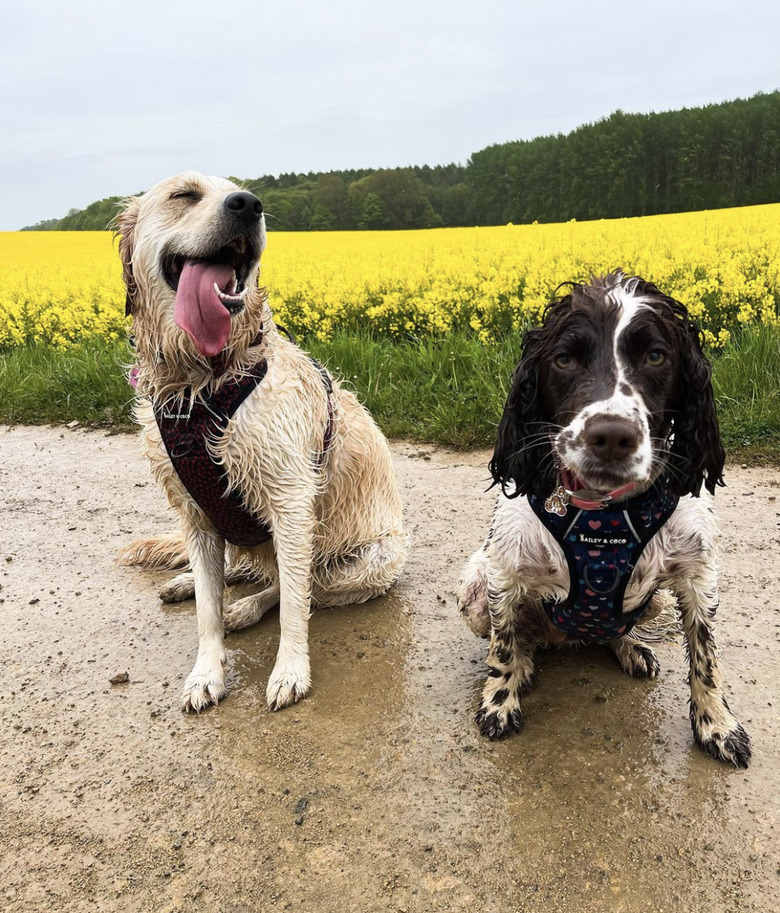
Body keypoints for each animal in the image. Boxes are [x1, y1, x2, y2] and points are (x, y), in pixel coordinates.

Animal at [119, 171, 408, 712]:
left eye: (241, 191)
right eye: (184, 194)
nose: (248, 205)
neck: (205, 382)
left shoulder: (291, 501)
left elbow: (295, 602)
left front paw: (290, 670)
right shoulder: (194, 512)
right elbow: (206, 610)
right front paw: (205, 672)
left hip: (369, 562)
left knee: (297, 584)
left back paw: (246, 607)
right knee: (236, 571)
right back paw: (195, 583)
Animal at [458, 272, 748, 768]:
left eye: (656, 355)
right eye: (563, 359)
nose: (612, 436)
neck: (605, 512)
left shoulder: (697, 576)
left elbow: (706, 657)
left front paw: (717, 726)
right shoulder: (504, 572)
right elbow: (502, 645)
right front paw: (500, 700)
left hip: (654, 601)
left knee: (613, 631)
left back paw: (630, 648)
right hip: (474, 587)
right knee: (520, 638)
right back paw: (528, 665)